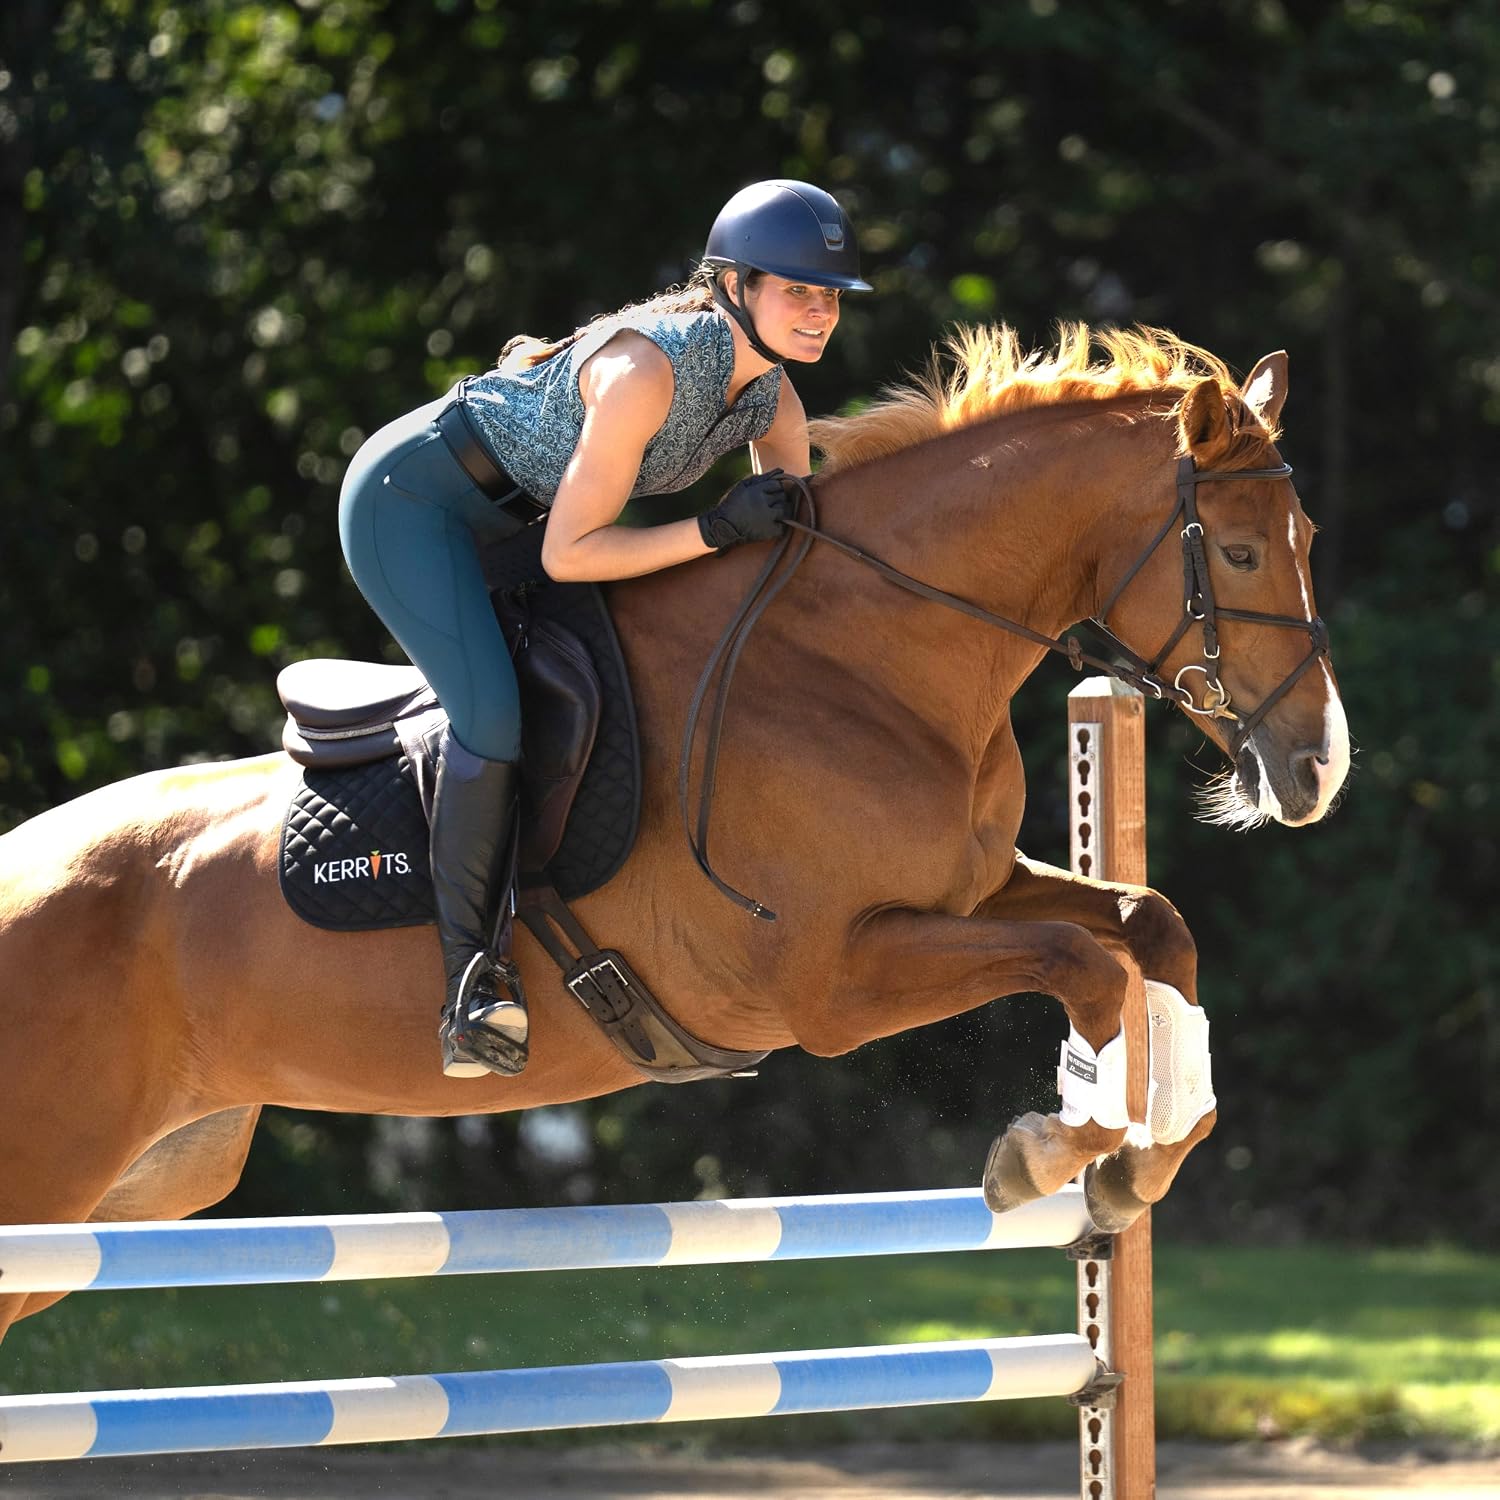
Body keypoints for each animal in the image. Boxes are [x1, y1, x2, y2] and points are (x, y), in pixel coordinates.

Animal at [0, 324, 1349, 1341]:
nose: (1318, 768)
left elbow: (1146, 927)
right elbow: (1083, 963)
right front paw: (1051, 1152)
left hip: (138, 1188)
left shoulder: (967, 897)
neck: (869, 655)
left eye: (1306, 544)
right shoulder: (830, 981)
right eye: (1236, 552)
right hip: (52, 1179)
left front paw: (1137, 1163)